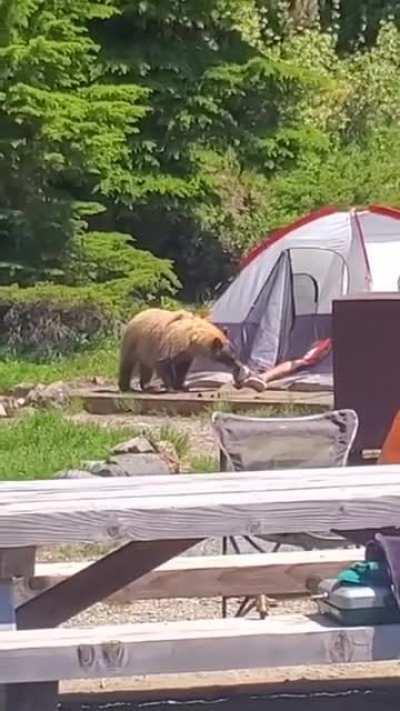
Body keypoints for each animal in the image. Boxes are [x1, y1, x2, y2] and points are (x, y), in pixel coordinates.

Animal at [118, 307, 248, 392]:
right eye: (231, 357)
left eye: (235, 353)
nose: (238, 366)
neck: (192, 339)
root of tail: (136, 316)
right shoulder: (172, 342)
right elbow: (163, 362)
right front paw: (171, 387)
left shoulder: (185, 353)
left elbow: (182, 367)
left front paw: (181, 386)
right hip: (134, 341)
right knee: (127, 363)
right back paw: (126, 387)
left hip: (146, 347)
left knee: (146, 367)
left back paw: (147, 386)